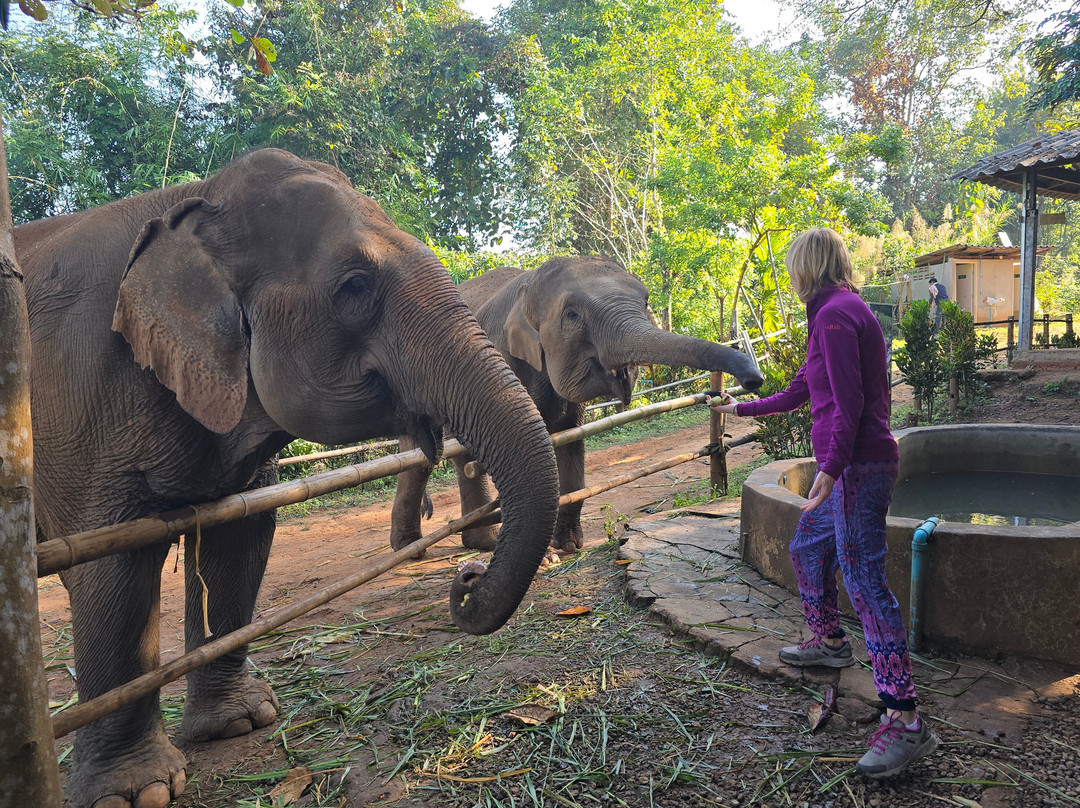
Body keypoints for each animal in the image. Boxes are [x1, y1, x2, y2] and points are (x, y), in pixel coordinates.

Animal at [15, 148, 559, 808]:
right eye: (356, 287)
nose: (467, 578)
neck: (195, 201)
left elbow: (239, 539)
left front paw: (241, 724)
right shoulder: (77, 402)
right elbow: (114, 569)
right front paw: (135, 794)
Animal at [389, 255, 765, 555]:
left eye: (645, 302)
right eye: (571, 315)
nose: (754, 381)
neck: (527, 283)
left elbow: (569, 437)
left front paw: (569, 545)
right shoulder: (500, 359)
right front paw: (546, 554)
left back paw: (463, 544)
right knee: (434, 456)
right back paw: (425, 547)